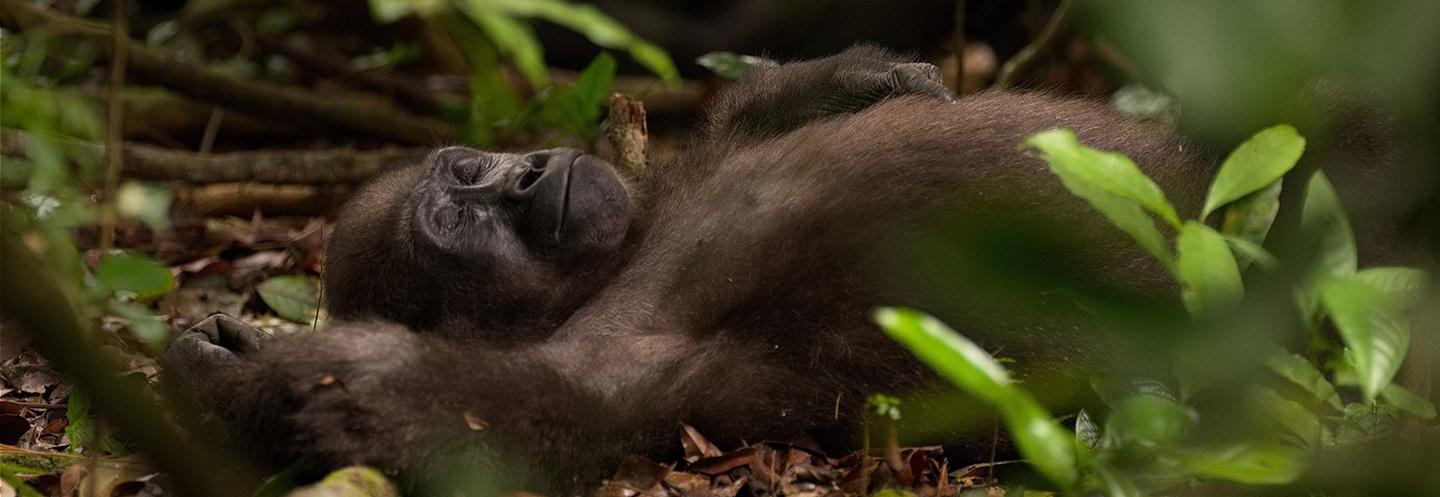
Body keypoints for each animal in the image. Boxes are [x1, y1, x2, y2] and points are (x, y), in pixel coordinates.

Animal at [168, 46, 1215, 492]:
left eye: (476, 167)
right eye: (461, 211)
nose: (530, 171)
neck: (618, 262)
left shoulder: (665, 179)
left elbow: (751, 116)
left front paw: (872, 76)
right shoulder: (610, 354)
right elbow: (477, 418)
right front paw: (238, 385)